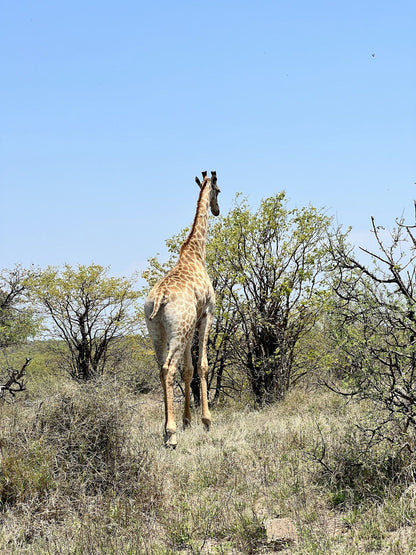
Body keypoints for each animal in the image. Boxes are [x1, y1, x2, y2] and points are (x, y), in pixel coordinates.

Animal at [145, 169, 219, 448]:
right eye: (219, 191)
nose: (217, 210)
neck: (196, 253)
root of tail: (159, 297)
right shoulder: (207, 314)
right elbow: (202, 365)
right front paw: (206, 422)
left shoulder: (191, 323)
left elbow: (188, 370)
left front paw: (188, 421)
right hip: (177, 332)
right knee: (168, 369)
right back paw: (171, 435)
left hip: (157, 331)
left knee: (160, 368)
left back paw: (169, 429)